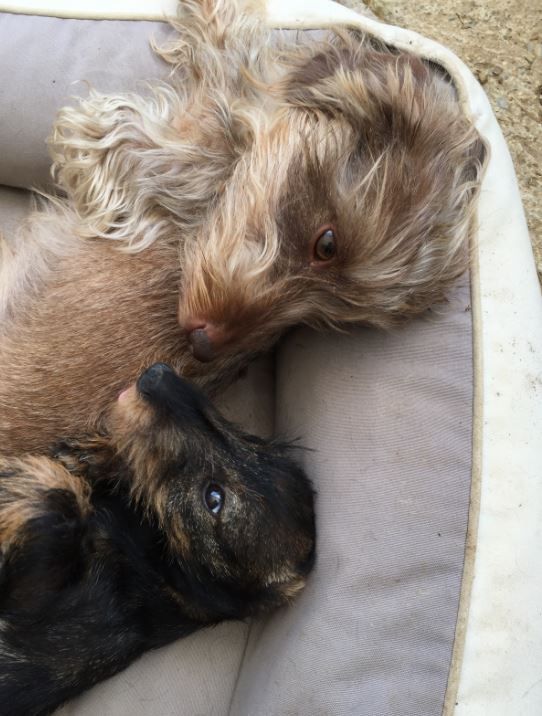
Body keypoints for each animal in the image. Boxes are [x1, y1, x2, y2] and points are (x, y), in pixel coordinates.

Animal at [0, 0, 486, 453]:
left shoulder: (140, 146)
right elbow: (234, 54)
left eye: (324, 318)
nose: (201, 348)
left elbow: (218, 70)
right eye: (327, 244)